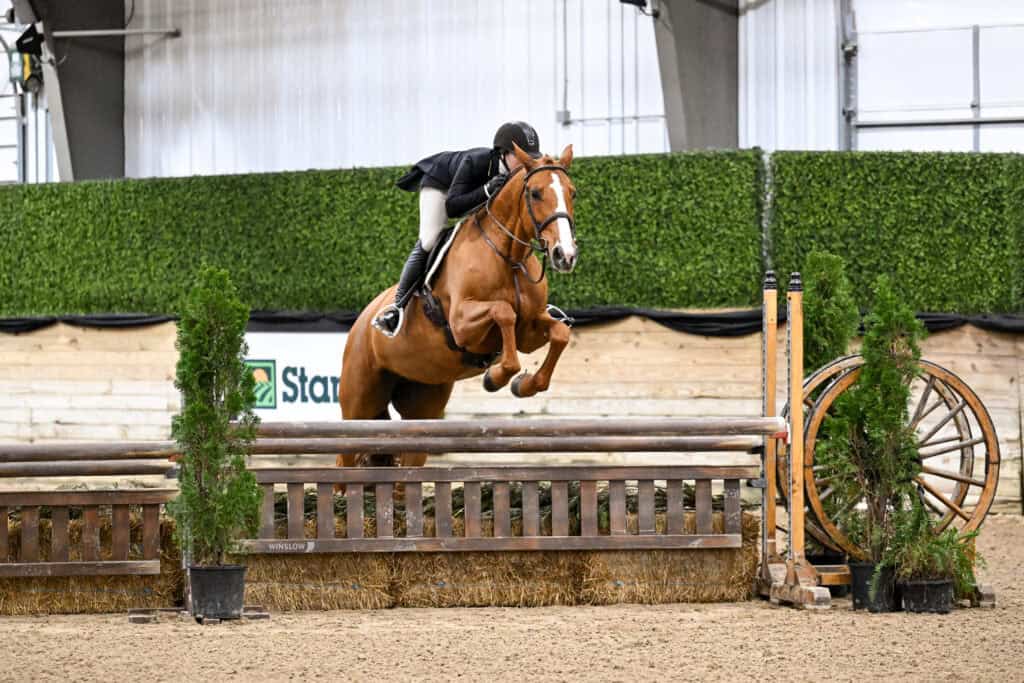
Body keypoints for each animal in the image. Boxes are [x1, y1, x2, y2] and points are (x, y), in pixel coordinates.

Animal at [337, 143, 578, 470]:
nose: (565, 255)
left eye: (572, 192)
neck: (509, 256)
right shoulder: (462, 324)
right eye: (536, 193)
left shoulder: (528, 330)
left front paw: (523, 384)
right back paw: (390, 317)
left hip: (421, 403)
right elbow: (503, 312)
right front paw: (496, 378)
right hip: (357, 405)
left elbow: (559, 334)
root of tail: (360, 322)